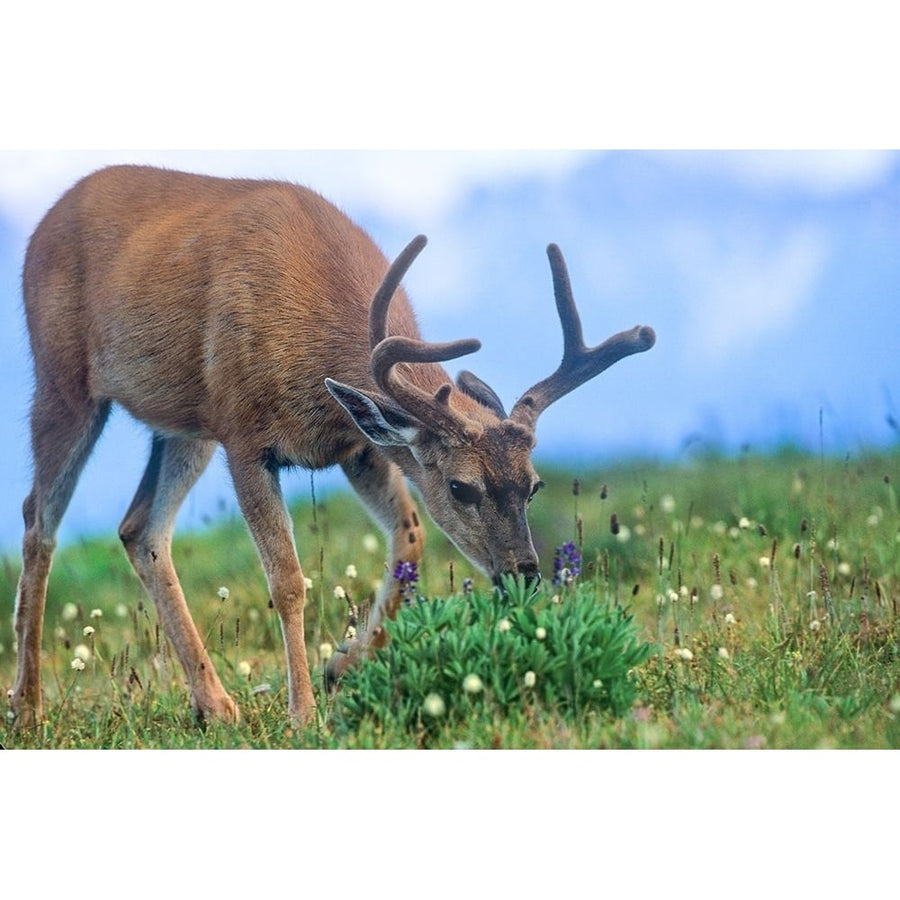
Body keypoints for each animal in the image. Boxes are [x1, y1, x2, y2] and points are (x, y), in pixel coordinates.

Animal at [7, 165, 652, 728]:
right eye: (461, 486)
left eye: (534, 483)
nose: (525, 574)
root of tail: (48, 218)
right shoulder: (244, 433)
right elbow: (288, 581)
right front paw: (303, 713)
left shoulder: (359, 444)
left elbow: (410, 537)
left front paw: (344, 663)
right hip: (65, 380)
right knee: (38, 521)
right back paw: (28, 707)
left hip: (186, 425)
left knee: (140, 528)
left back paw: (215, 705)